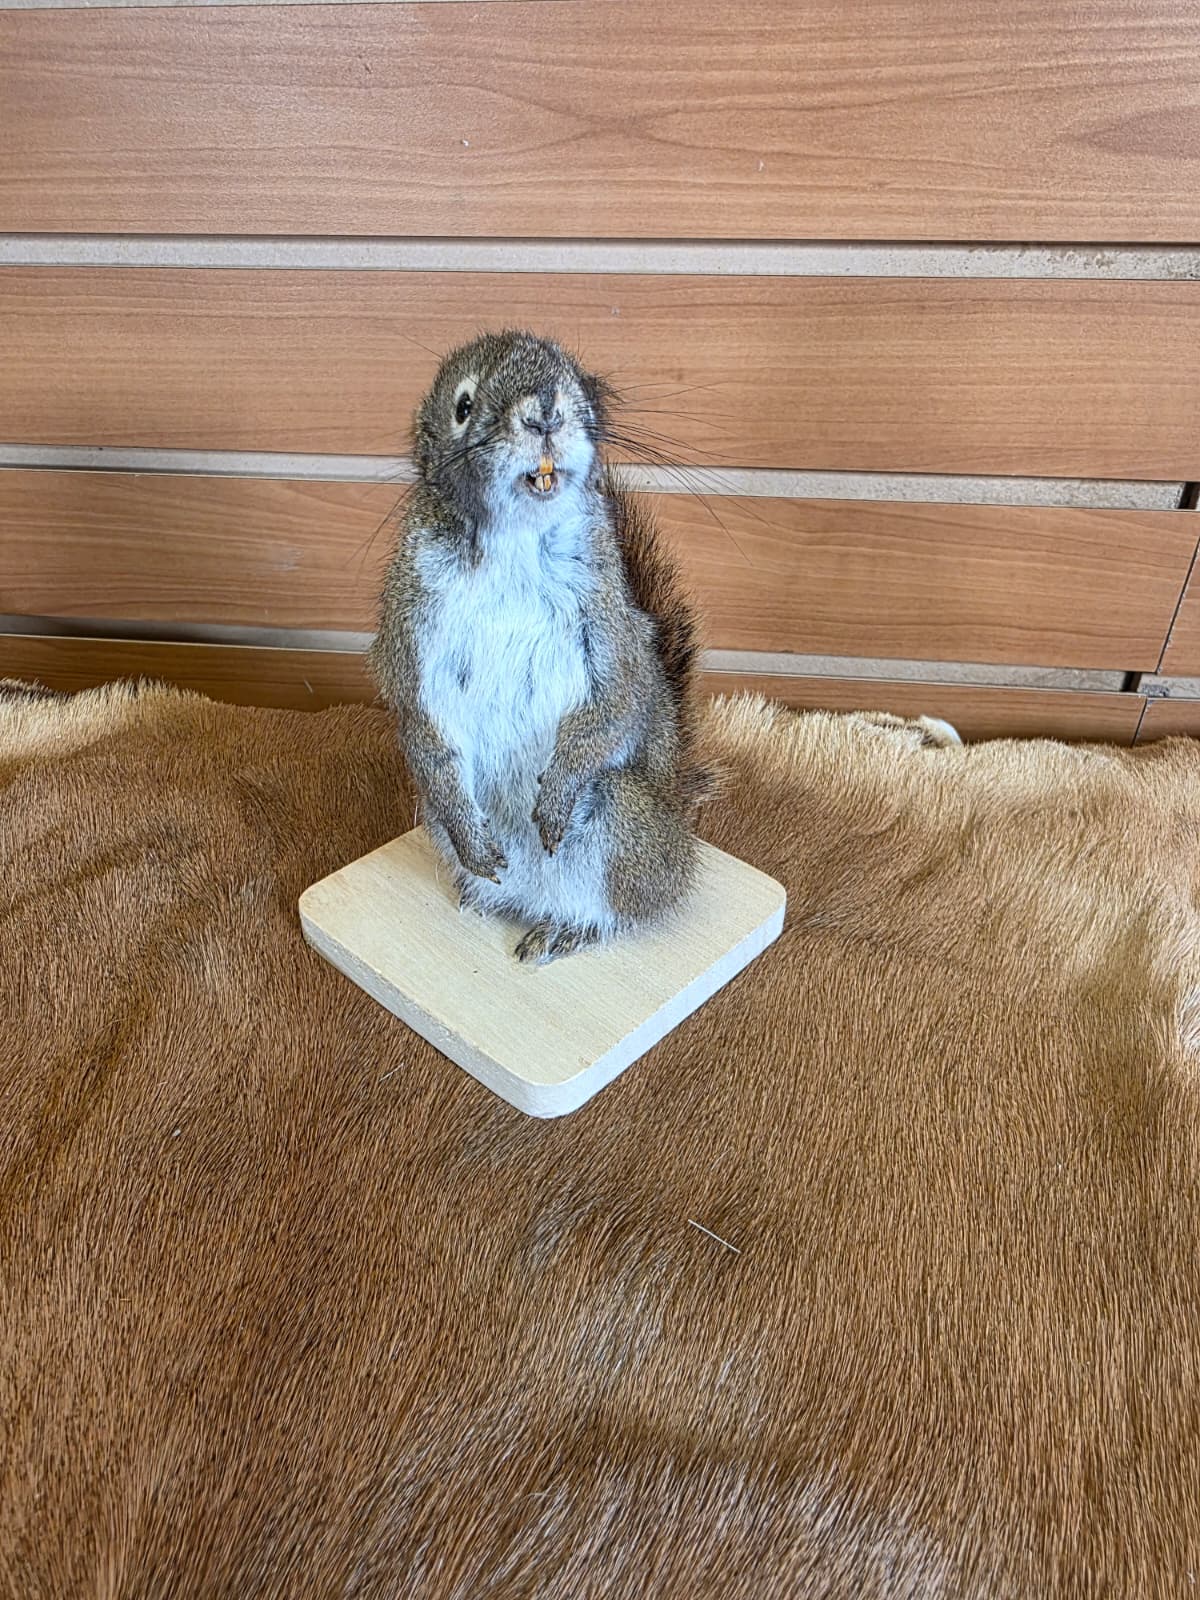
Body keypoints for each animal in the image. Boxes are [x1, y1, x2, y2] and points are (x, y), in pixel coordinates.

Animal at [369, 330, 712, 965]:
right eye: (463, 407)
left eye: (573, 380)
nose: (546, 412)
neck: (514, 539)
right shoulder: (410, 631)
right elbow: (421, 722)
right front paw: (472, 833)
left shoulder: (610, 624)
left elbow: (618, 702)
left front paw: (555, 794)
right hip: (438, 826)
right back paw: (482, 894)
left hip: (621, 828)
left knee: (616, 913)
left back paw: (566, 928)